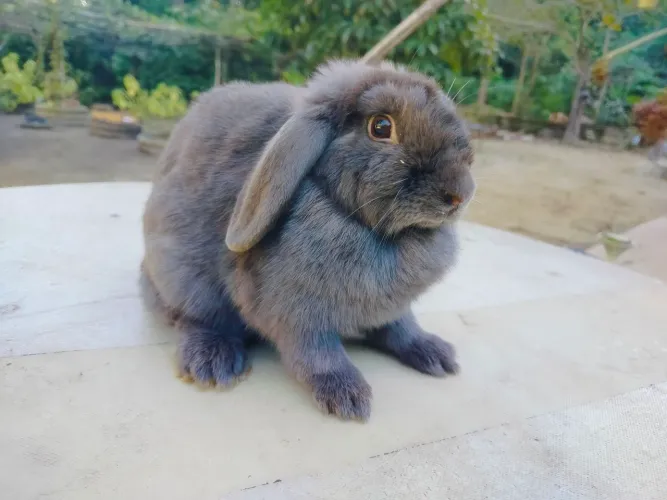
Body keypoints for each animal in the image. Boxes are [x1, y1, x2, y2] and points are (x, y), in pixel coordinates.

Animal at [140, 59, 475, 421]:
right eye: (381, 126)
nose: (459, 194)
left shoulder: (394, 309)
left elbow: (403, 328)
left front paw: (436, 354)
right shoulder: (296, 313)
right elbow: (317, 353)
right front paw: (347, 397)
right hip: (182, 276)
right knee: (193, 317)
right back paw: (214, 363)